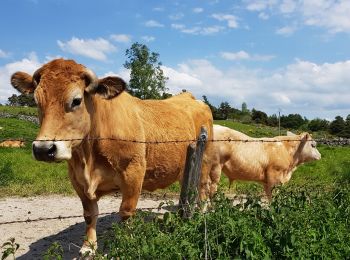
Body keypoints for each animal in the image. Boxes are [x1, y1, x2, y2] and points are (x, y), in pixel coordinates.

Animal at [10, 58, 215, 255]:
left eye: (76, 100)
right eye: (37, 101)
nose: (43, 149)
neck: (88, 158)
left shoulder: (133, 172)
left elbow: (125, 211)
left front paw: (125, 242)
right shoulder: (77, 179)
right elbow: (89, 214)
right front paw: (88, 246)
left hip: (205, 161)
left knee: (204, 190)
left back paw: (202, 214)